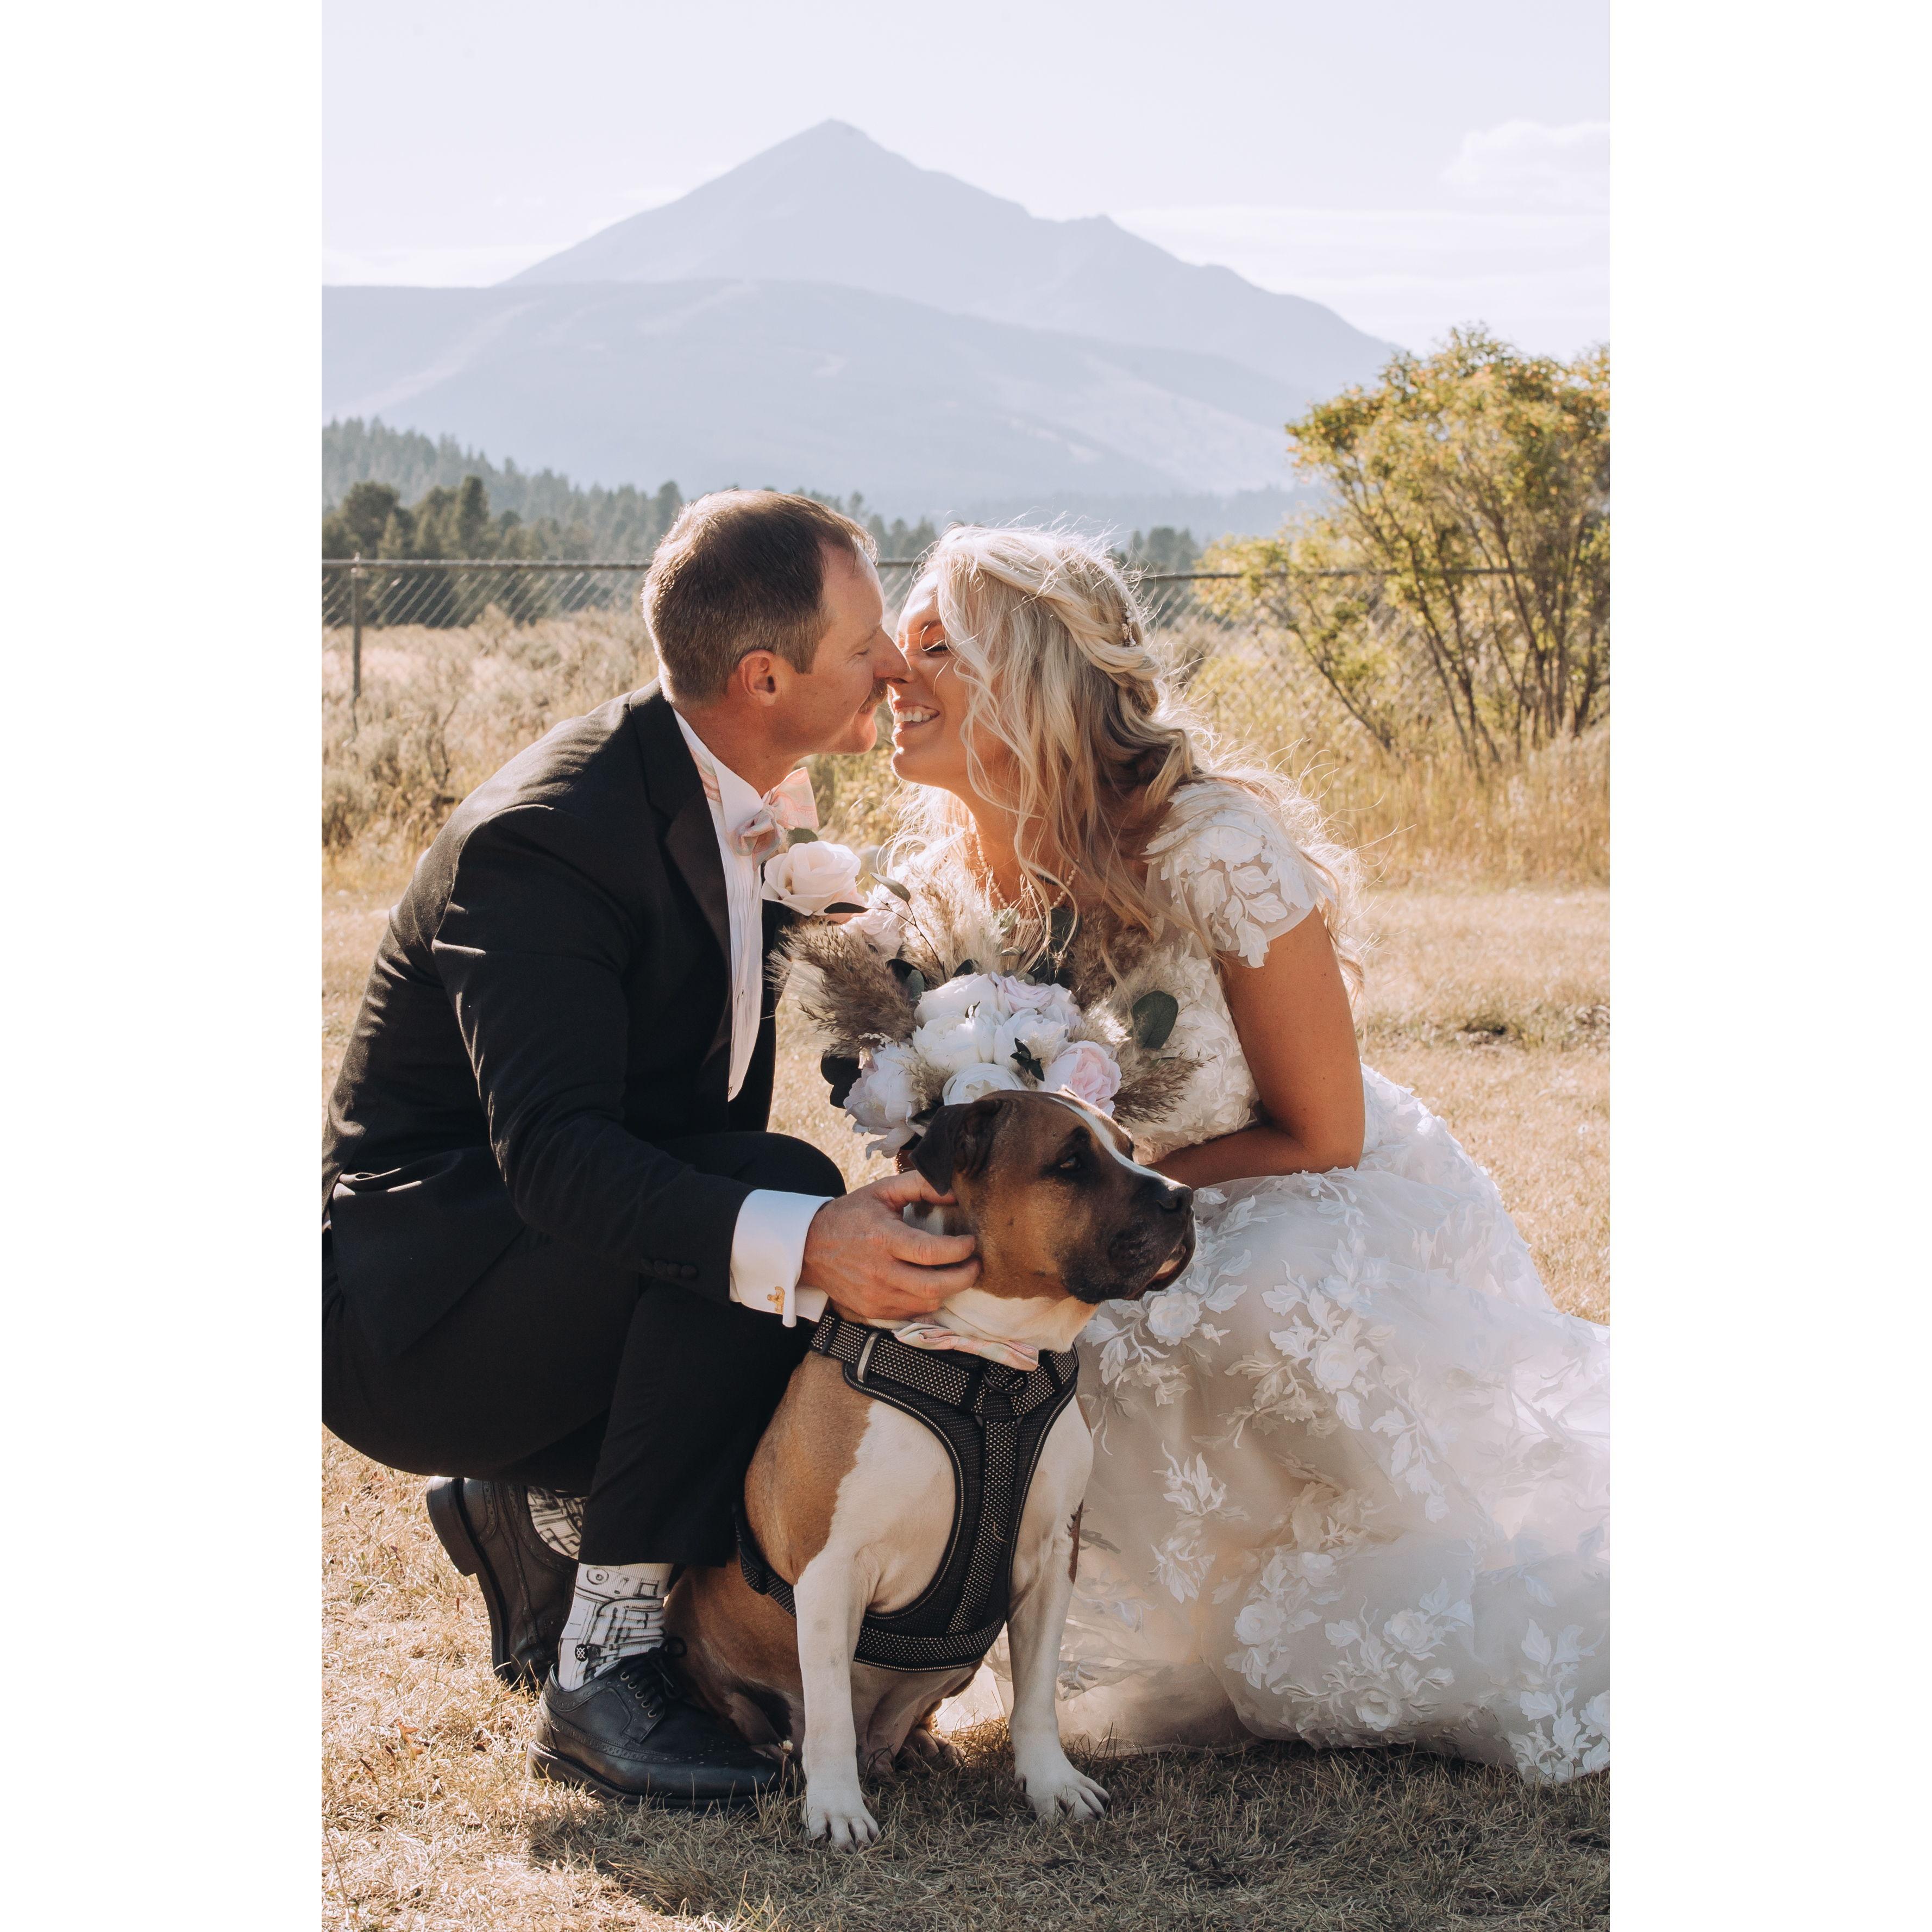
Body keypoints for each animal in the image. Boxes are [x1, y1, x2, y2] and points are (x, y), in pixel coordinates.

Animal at [666, 1088, 1195, 1847]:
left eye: (1129, 1147)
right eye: (1070, 1163)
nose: (1183, 1197)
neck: (987, 1366)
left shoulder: (1050, 1558)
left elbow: (1037, 1693)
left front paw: (1052, 1783)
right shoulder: (831, 1570)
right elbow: (827, 1708)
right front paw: (836, 1807)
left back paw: (918, 1744)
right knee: (771, 1715)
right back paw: (774, 1748)